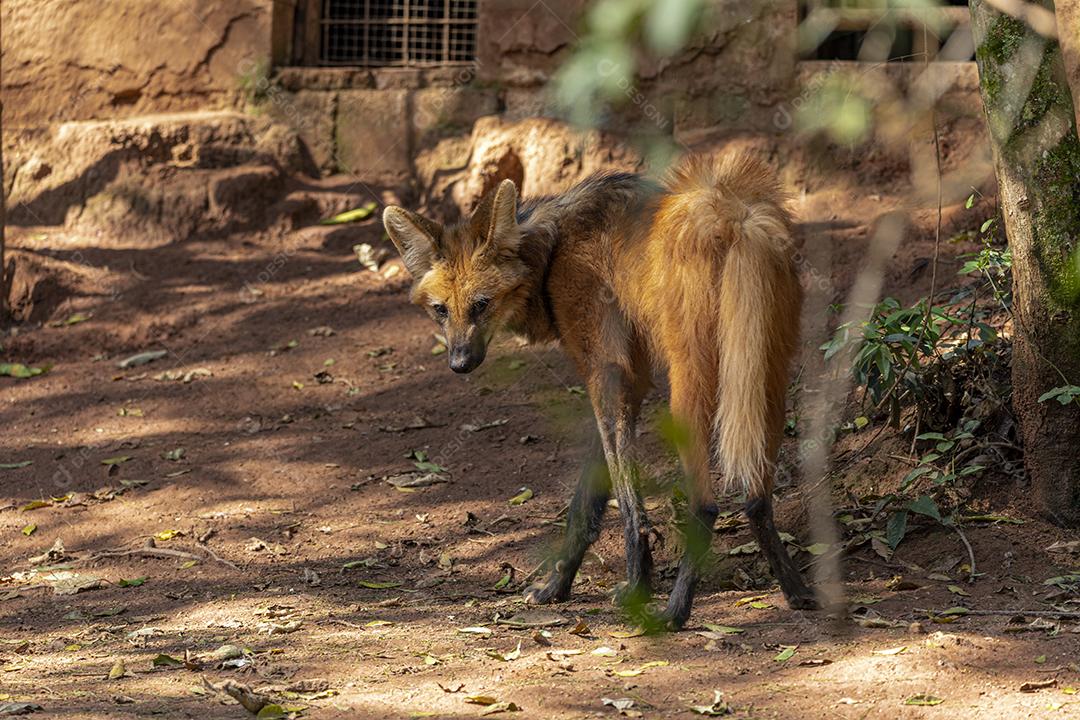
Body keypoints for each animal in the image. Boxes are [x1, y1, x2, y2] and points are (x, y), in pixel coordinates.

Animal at [382, 151, 816, 628]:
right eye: (441, 310)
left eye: (482, 304)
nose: (461, 363)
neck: (551, 253)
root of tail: (733, 215)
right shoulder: (630, 378)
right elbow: (589, 496)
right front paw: (559, 585)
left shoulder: (607, 371)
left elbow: (624, 500)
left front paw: (633, 588)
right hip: (765, 371)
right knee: (757, 495)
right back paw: (797, 591)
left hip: (692, 385)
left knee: (706, 504)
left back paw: (675, 611)